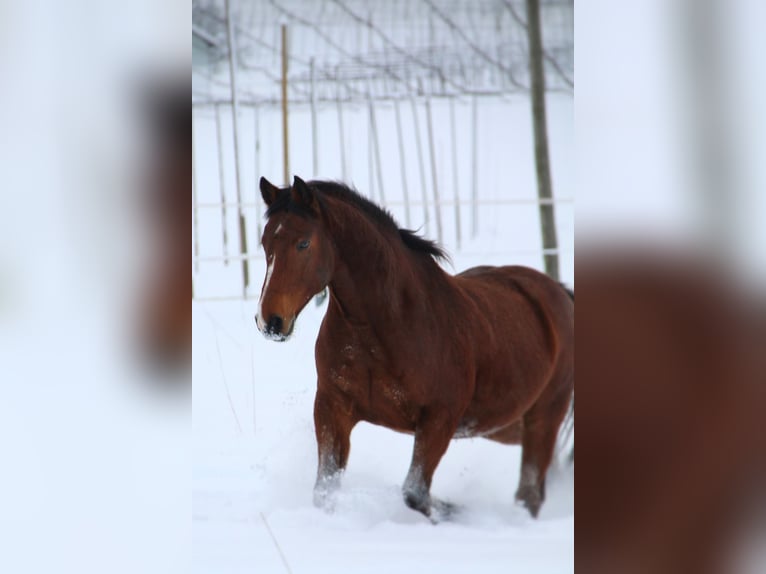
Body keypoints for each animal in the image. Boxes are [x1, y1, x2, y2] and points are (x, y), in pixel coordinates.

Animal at [256, 175, 574, 521]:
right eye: (265, 243)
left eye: (303, 243)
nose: (269, 321)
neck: (381, 329)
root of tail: (560, 292)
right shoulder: (332, 407)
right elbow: (325, 490)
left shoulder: (438, 420)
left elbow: (414, 493)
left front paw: (454, 510)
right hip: (506, 425)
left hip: (543, 416)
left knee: (529, 493)